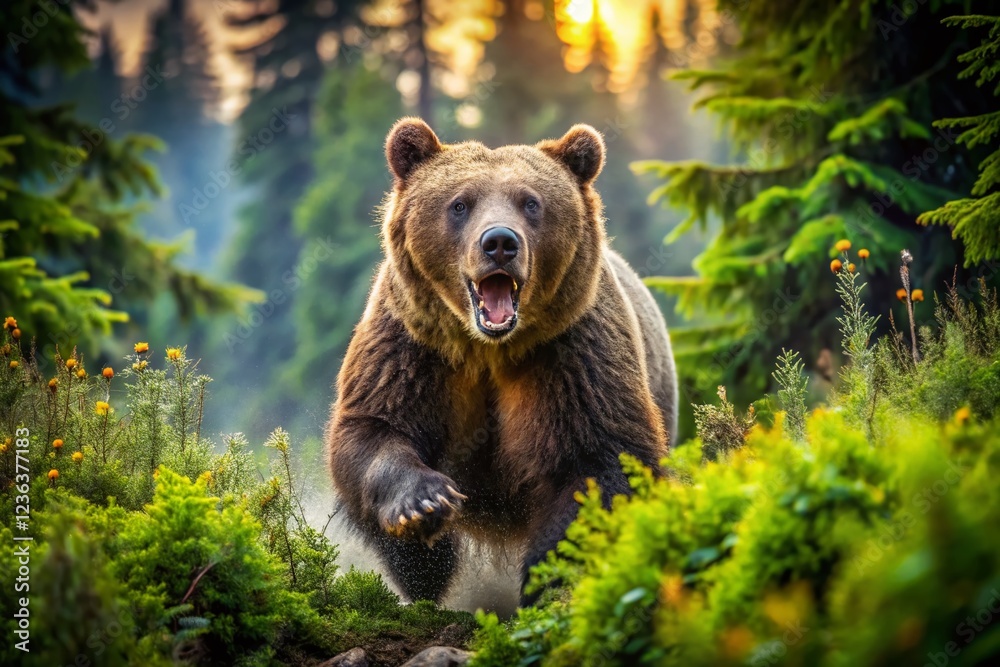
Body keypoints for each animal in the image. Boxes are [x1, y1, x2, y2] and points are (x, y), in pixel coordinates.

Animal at [326, 118, 678, 605]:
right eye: (459, 204)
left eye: (531, 202)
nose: (499, 242)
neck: (487, 348)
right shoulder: (413, 347)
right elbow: (375, 429)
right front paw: (423, 508)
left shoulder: (572, 354)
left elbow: (598, 462)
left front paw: (548, 579)